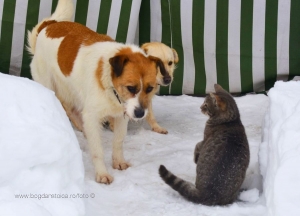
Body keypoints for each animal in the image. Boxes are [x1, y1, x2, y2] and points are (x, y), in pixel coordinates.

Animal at [26, 0, 165, 184]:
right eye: (131, 88)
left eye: (149, 88)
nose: (140, 113)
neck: (110, 85)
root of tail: (50, 25)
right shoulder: (93, 115)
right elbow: (98, 150)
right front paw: (102, 173)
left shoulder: (121, 116)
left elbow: (118, 141)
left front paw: (118, 162)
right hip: (48, 85)